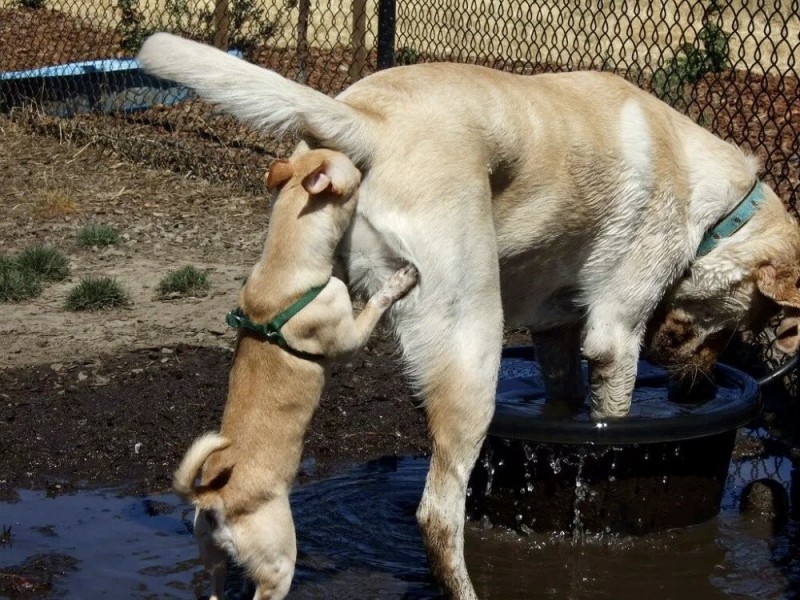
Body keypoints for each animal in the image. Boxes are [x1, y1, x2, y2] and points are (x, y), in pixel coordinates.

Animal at [171, 146, 416, 600]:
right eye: (358, 174)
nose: (367, 161)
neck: (285, 265)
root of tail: (215, 500)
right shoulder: (350, 337)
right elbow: (375, 303)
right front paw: (398, 280)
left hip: (212, 560)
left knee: (213, 586)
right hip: (278, 565)